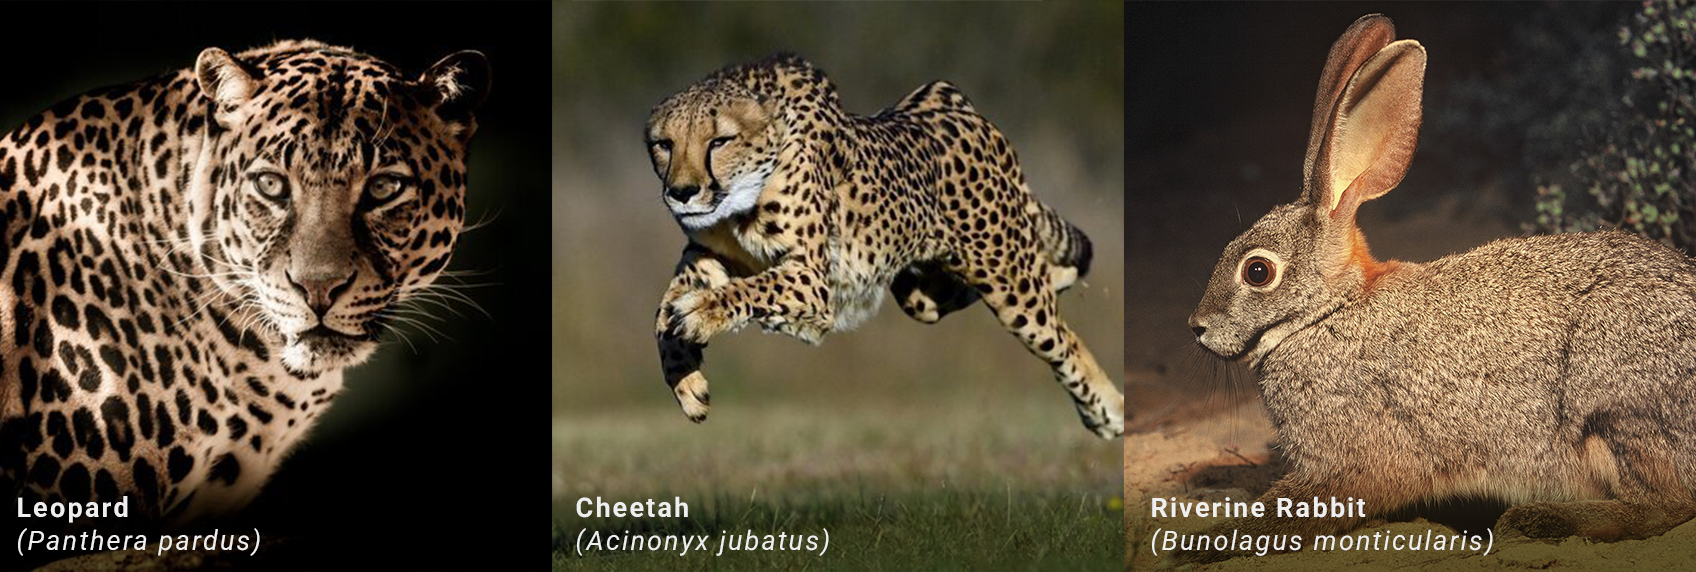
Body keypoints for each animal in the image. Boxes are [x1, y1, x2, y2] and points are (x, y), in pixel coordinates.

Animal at [644, 53, 1124, 438]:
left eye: (719, 141)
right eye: (664, 144)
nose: (682, 193)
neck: (738, 202)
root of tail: (951, 102)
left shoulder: (811, 280)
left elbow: (745, 290)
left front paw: (701, 313)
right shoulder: (705, 254)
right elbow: (663, 310)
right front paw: (684, 376)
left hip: (1008, 282)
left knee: (1062, 338)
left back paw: (1109, 411)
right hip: (920, 294)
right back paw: (1061, 275)